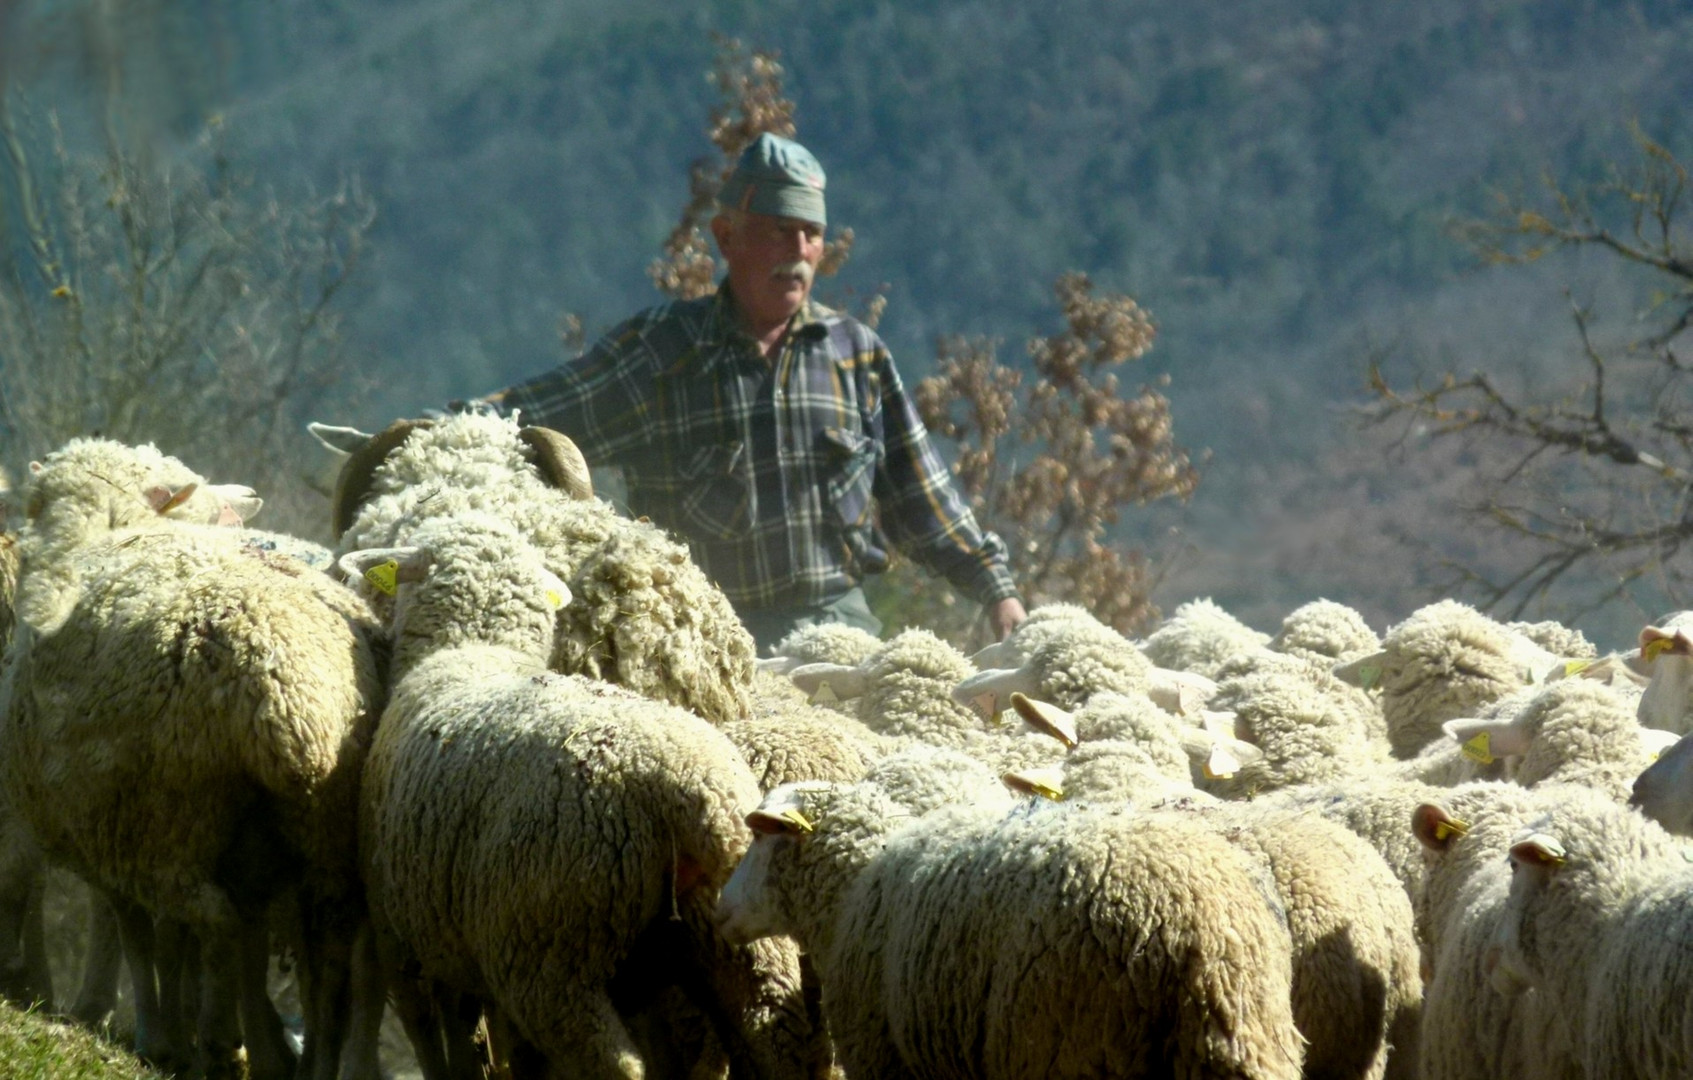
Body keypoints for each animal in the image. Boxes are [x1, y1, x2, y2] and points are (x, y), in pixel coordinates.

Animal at [340, 516, 817, 1079]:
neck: (474, 650)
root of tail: (693, 790)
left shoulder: (402, 938)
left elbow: (438, 1044)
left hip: (553, 953)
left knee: (615, 1064)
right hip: (742, 929)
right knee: (776, 1039)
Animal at [716, 780, 1306, 1079]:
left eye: (760, 837)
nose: (720, 908)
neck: (852, 886)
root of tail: (1201, 927)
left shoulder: (882, 1054)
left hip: (1067, 1044)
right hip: (1250, 1035)